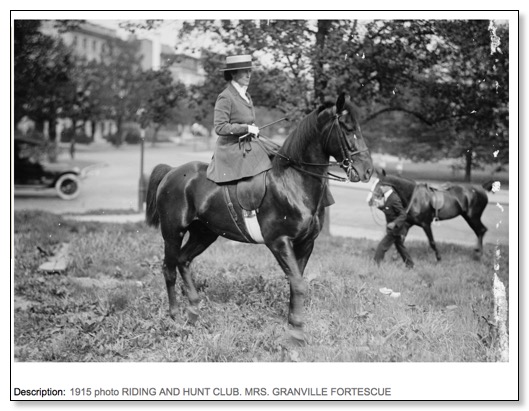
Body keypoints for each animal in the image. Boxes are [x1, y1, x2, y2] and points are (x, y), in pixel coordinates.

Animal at [146, 93, 374, 344]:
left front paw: (292, 324)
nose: (368, 171)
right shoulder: (279, 242)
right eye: (348, 128)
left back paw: (194, 310)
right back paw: (175, 315)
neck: (293, 181)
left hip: (204, 234)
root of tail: (171, 171)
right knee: (168, 268)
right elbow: (298, 283)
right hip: (172, 232)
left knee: (184, 261)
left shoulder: (306, 243)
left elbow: (296, 281)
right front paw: (297, 332)